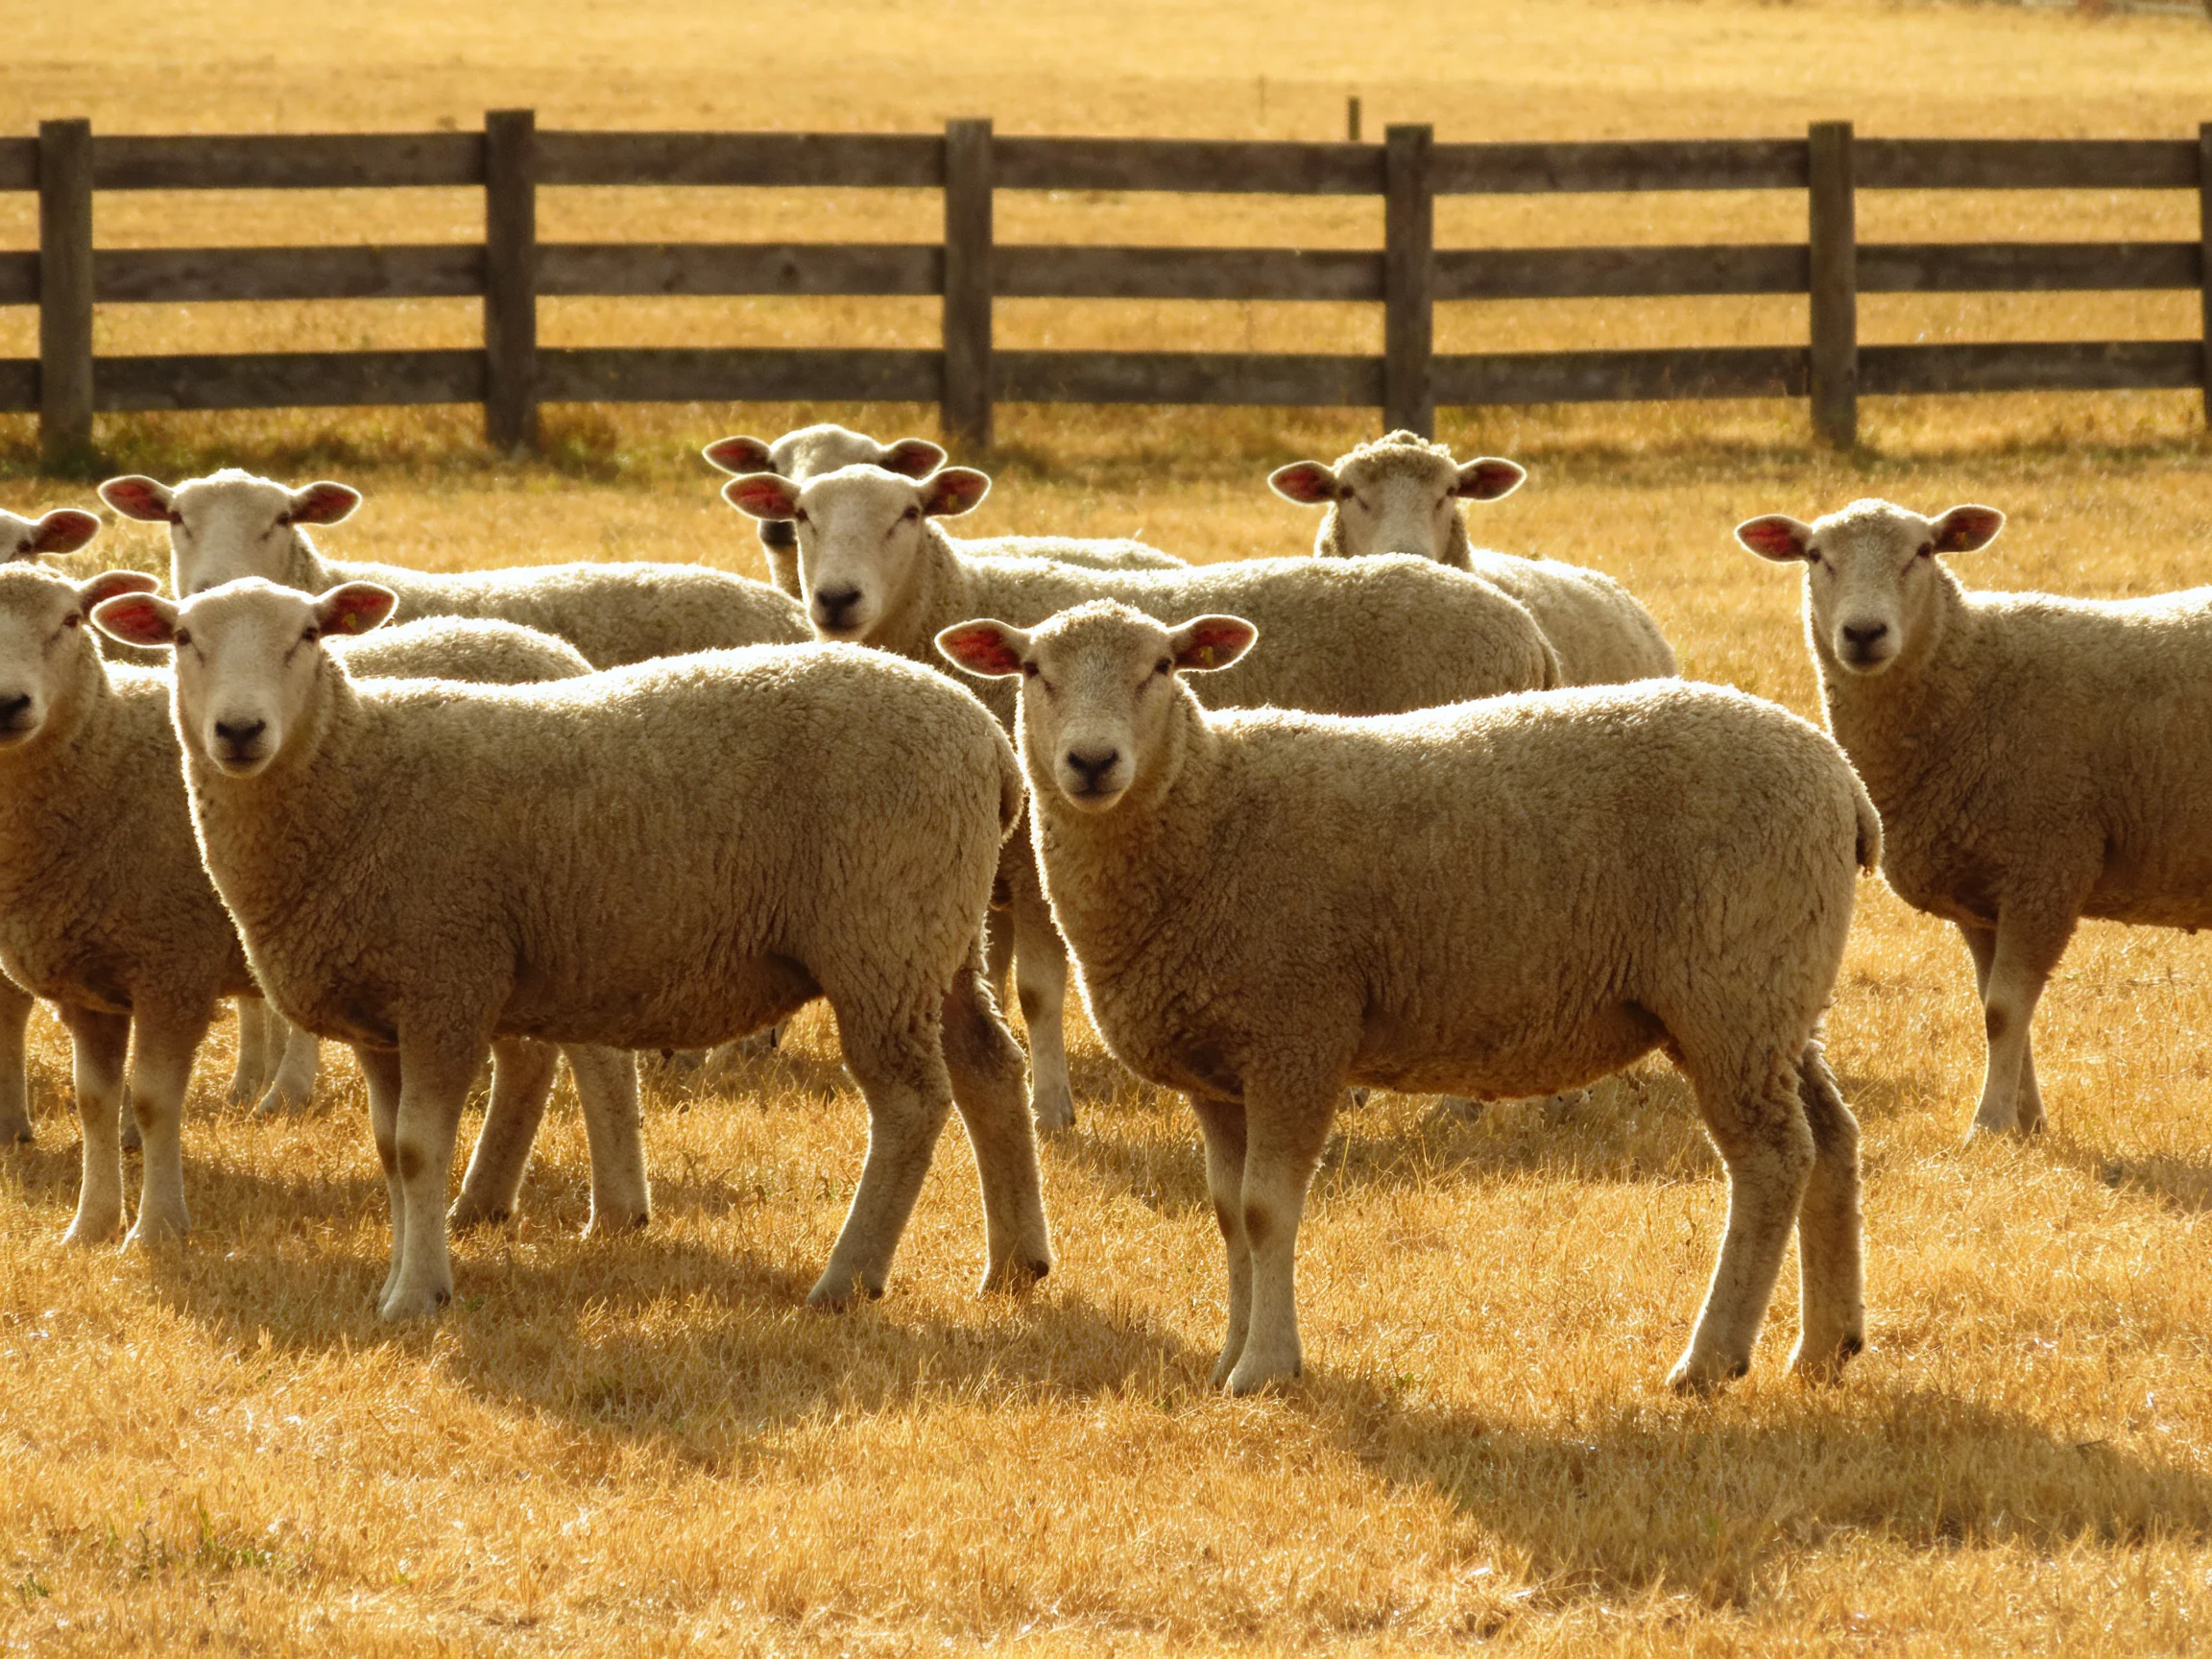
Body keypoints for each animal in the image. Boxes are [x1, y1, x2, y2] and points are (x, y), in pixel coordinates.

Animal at [93, 577, 1050, 1319]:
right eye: (183, 638)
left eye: (307, 636)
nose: (239, 731)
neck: (352, 773)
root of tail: (989, 744)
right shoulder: (380, 1011)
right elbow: (390, 1154)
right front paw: (402, 1280)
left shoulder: (447, 978)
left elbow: (419, 1150)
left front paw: (419, 1297)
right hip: (939, 941)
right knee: (992, 1072)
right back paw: (1015, 1266)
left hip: (881, 934)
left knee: (911, 1103)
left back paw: (848, 1279)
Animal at [722, 461, 1562, 1132]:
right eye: (803, 516)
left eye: (908, 513)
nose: (835, 599)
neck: (949, 601)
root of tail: (1526, 628)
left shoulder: (1032, 860)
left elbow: (1036, 990)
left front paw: (1052, 1110)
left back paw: (1462, 1106)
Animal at [938, 599, 1878, 1394]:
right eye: (1032, 670)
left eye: (1163, 667)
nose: (1092, 762)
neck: (1209, 807)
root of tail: (1841, 776)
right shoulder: (1218, 1067)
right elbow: (1227, 1215)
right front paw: (1229, 1357)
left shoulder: (1297, 1034)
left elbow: (1267, 1210)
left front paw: (1267, 1368)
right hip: (1778, 997)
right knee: (1831, 1140)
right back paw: (1826, 1347)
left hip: (1733, 990)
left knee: (1771, 1159)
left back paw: (1712, 1360)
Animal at [1738, 497, 2212, 1140]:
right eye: (1816, 556)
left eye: (1923, 551)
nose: (1863, 633)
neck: (1973, 676)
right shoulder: (1982, 893)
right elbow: (2003, 1006)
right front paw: (2027, 1123)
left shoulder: (2046, 866)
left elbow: (2004, 1010)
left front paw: (1988, 1125)